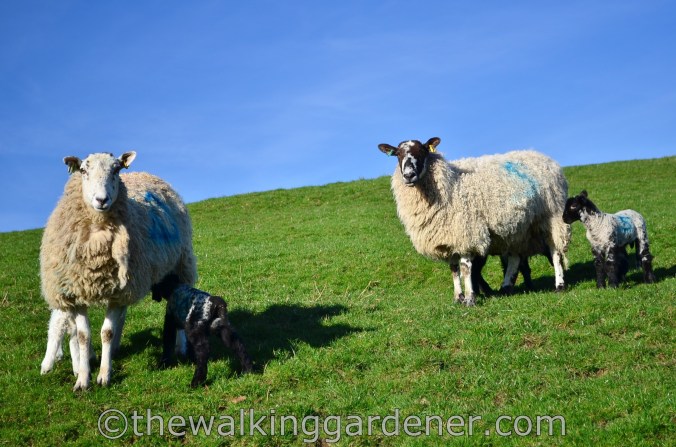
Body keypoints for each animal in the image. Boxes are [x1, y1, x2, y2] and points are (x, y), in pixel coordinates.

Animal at [40, 151, 197, 391]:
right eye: (83, 170)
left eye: (116, 170)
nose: (101, 200)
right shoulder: (76, 293)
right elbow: (83, 335)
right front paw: (82, 379)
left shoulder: (117, 293)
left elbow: (107, 332)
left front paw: (104, 375)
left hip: (180, 266)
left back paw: (180, 349)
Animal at [378, 138, 569, 305]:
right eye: (398, 154)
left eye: (423, 151)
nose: (409, 175)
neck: (450, 184)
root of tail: (543, 157)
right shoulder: (449, 237)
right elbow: (454, 269)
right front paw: (458, 297)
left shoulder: (466, 232)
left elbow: (465, 268)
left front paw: (470, 299)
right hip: (518, 229)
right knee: (515, 257)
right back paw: (506, 287)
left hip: (552, 215)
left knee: (555, 250)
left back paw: (559, 285)